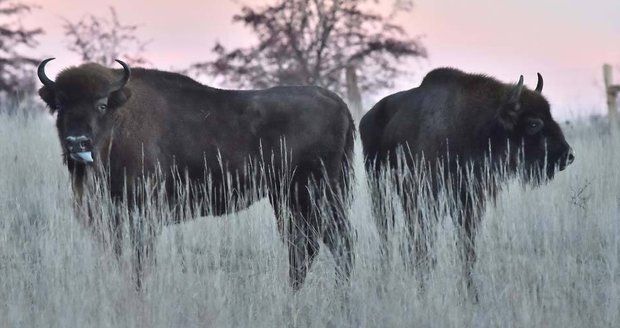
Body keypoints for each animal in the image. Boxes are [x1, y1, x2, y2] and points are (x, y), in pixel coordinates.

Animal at [36, 59, 354, 290]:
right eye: (60, 105)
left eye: (101, 104)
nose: (77, 142)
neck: (120, 119)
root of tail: (338, 102)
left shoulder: (142, 213)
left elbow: (140, 259)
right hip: (289, 197)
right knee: (306, 246)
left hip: (315, 193)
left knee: (335, 242)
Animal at [360, 68, 572, 296]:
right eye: (533, 123)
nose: (568, 155)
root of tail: (367, 117)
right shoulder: (427, 199)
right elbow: (425, 245)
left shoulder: (470, 202)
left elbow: (466, 248)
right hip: (379, 187)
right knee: (386, 231)